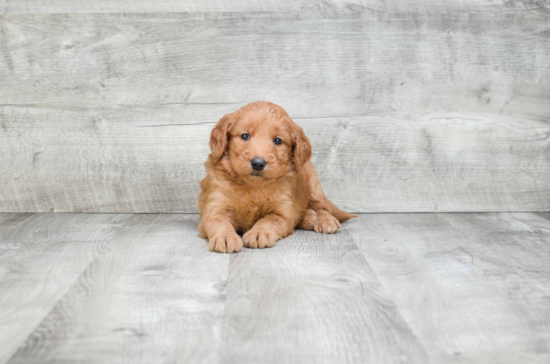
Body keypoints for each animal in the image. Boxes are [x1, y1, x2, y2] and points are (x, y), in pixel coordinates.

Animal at [198, 100, 358, 253]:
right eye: (245, 136)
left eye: (277, 140)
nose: (258, 163)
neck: (254, 187)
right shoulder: (215, 206)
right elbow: (219, 221)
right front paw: (225, 237)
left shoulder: (282, 212)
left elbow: (269, 220)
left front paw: (259, 233)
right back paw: (309, 217)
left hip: (314, 184)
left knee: (323, 208)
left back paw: (325, 221)